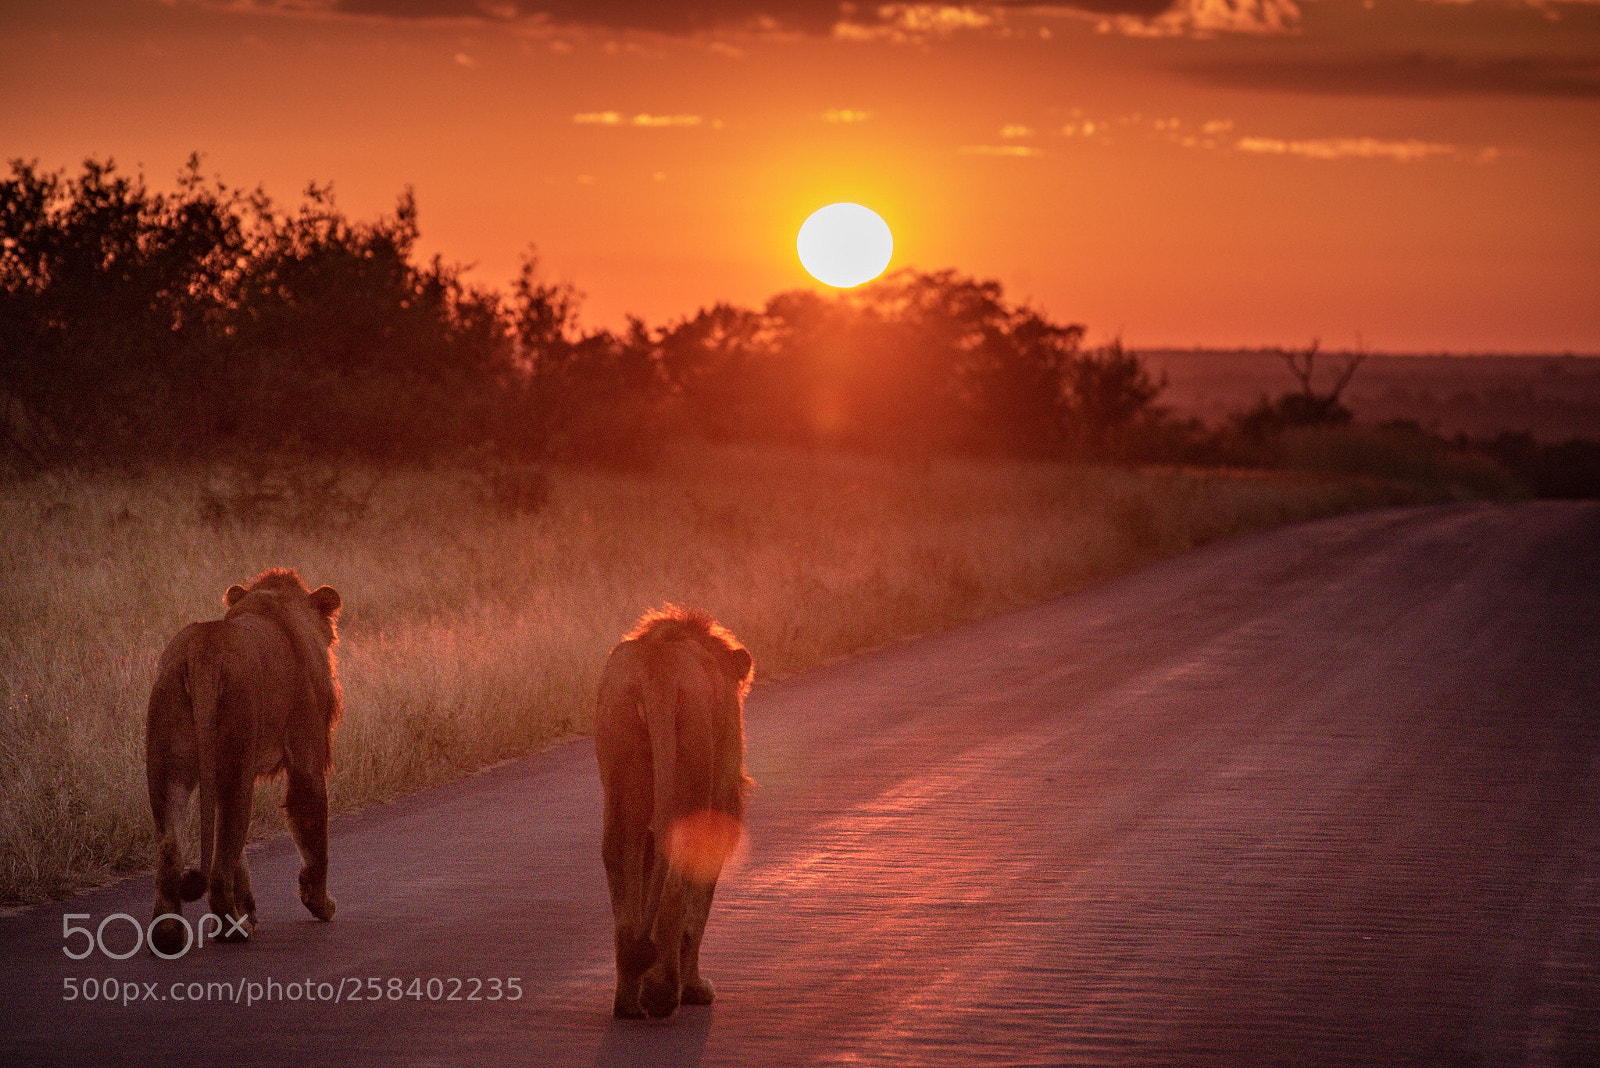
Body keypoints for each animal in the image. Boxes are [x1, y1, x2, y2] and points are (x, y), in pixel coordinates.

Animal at [144, 568, 342, 954]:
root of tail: (201, 651)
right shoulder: (307, 758)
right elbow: (314, 831)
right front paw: (321, 904)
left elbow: (240, 856)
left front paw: (250, 909)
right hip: (236, 762)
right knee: (220, 867)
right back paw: (232, 930)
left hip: (168, 766)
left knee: (172, 850)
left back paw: (169, 935)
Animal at [595, 606, 753, 1019]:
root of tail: (657, 668)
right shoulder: (723, 795)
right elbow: (697, 909)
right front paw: (696, 989)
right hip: (694, 780)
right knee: (674, 893)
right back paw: (665, 994)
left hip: (623, 775)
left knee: (620, 861)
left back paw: (629, 1002)